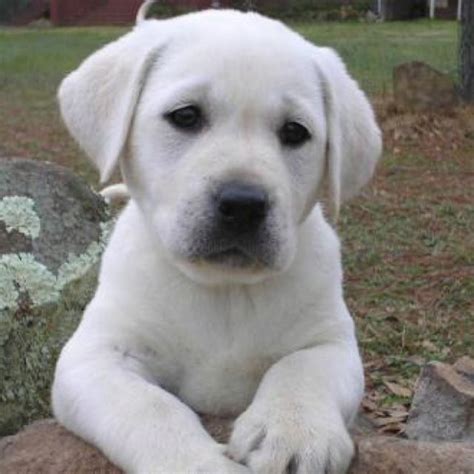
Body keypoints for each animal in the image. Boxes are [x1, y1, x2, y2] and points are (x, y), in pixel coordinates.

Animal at [51, 4, 382, 474]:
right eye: (186, 116)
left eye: (295, 132)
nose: (243, 204)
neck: (223, 290)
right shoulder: (95, 357)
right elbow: (149, 407)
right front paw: (195, 462)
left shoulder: (331, 341)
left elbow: (302, 369)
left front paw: (293, 430)